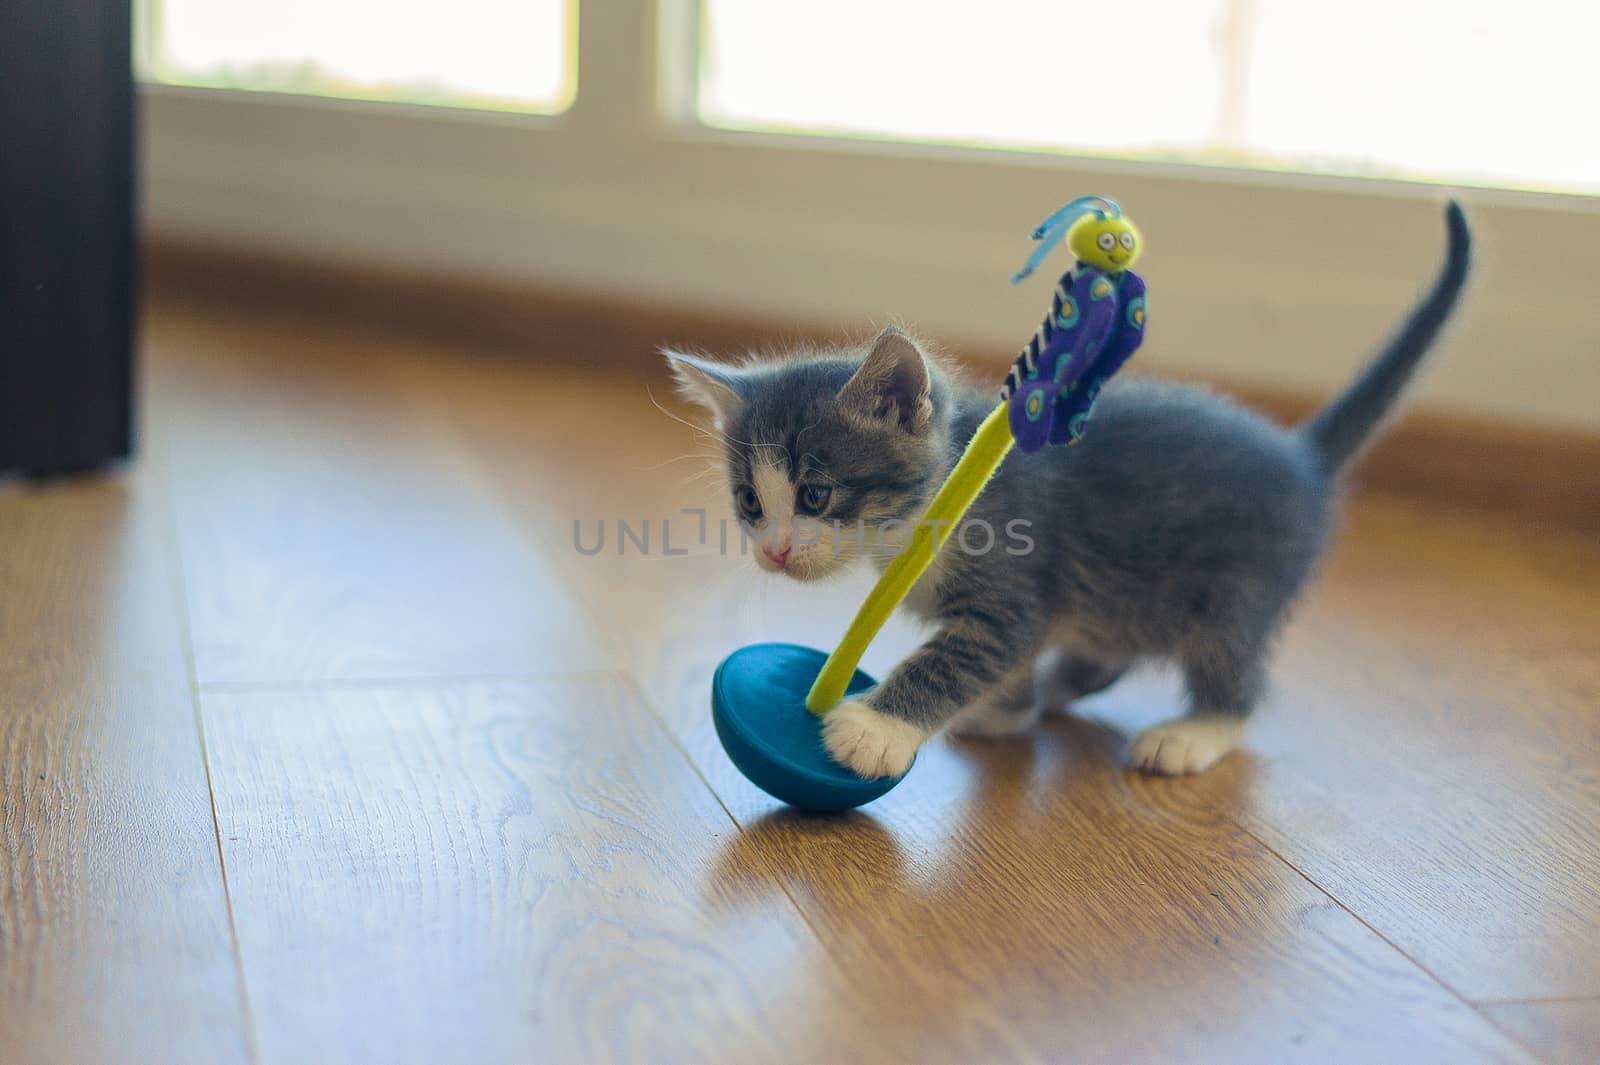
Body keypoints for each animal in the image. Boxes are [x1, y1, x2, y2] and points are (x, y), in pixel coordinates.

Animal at [668, 201, 1465, 780]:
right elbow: (1006, 658)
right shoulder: (1033, 601)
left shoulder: (1013, 585)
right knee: (1106, 652)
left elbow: (967, 651)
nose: (774, 551)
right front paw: (1006, 709)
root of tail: (1302, 456)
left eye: (815, 495)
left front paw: (874, 729)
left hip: (1236, 586)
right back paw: (1054, 692)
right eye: (750, 502)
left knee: (1232, 670)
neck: (929, 510)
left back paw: (1192, 735)